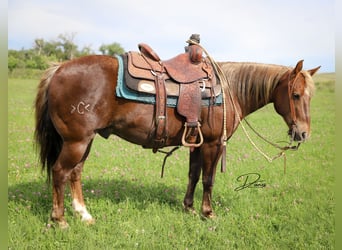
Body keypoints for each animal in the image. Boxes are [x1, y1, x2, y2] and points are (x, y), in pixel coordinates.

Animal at [33, 53, 320, 229]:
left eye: (310, 96)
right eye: (295, 95)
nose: (303, 134)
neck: (229, 90)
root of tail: (59, 68)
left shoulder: (197, 142)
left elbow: (193, 175)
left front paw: (189, 208)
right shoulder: (212, 143)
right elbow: (208, 179)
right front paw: (207, 212)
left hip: (85, 141)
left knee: (75, 173)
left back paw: (84, 215)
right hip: (76, 141)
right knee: (60, 172)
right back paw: (60, 219)